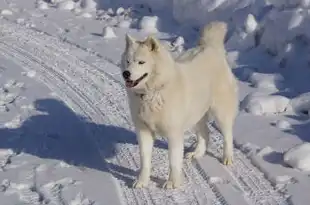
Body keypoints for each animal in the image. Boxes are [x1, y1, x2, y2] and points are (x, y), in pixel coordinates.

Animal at [120, 20, 237, 189]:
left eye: (141, 62)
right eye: (128, 61)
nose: (126, 74)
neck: (153, 92)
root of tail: (210, 47)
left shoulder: (174, 133)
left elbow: (173, 161)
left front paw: (172, 183)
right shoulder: (143, 131)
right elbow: (145, 160)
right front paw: (142, 181)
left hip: (221, 112)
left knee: (228, 136)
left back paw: (227, 158)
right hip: (196, 115)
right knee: (205, 133)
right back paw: (197, 153)